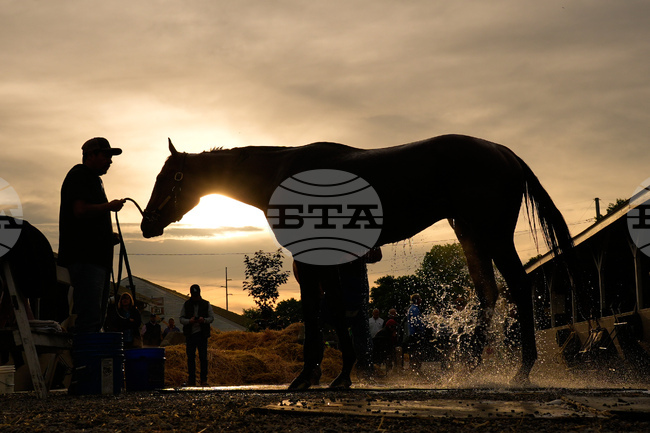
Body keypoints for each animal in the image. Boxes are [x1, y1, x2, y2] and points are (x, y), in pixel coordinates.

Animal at [141, 134, 574, 387]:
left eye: (167, 178)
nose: (146, 223)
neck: (283, 174)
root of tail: (505, 152)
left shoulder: (315, 258)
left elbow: (326, 313)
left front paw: (324, 376)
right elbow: (328, 312)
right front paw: (325, 375)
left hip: (493, 234)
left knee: (518, 285)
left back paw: (522, 370)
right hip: (470, 235)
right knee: (488, 292)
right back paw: (468, 369)